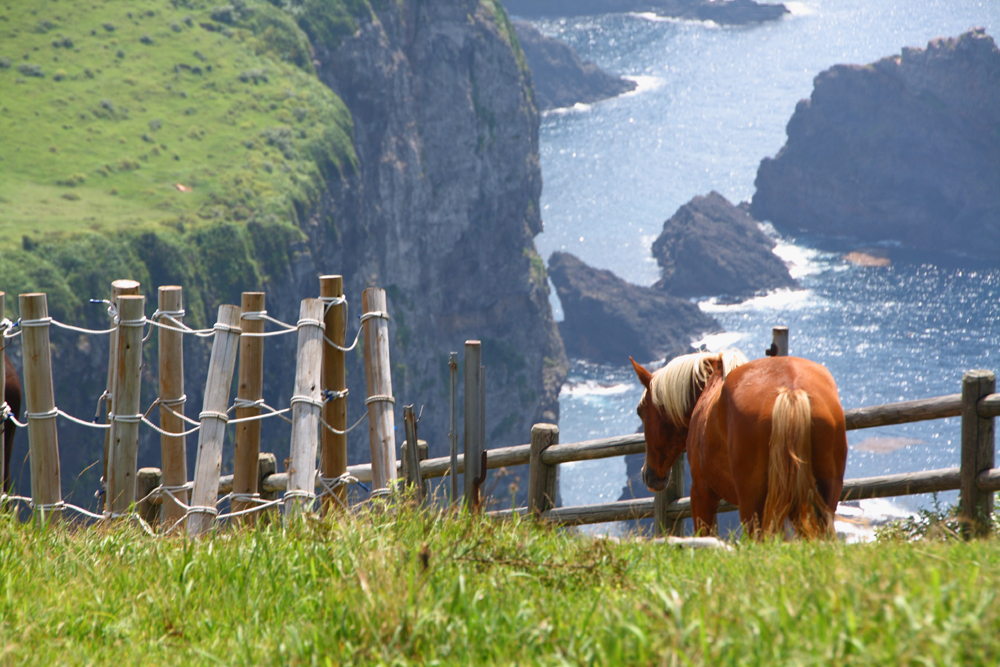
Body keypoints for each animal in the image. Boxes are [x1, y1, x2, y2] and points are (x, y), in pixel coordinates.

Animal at [632, 352, 844, 540]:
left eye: (640, 411)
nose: (648, 475)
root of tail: (791, 390)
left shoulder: (701, 492)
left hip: (752, 501)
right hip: (823, 495)